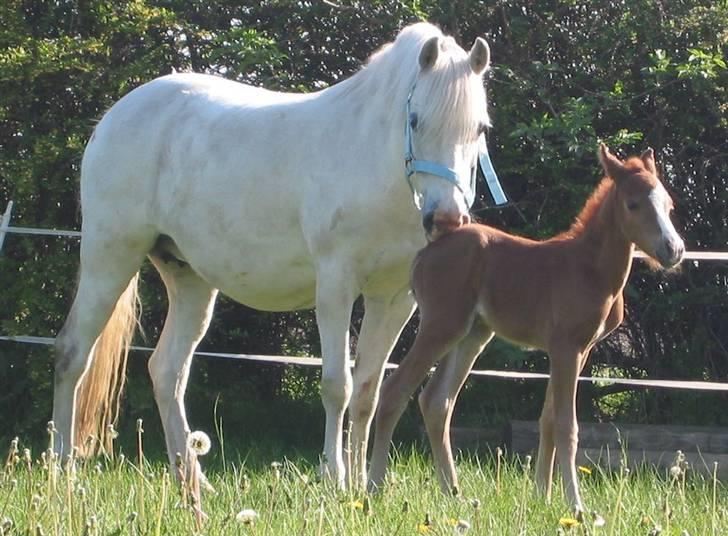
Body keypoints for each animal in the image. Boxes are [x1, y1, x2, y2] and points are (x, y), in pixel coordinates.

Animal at [51, 22, 494, 489]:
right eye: (415, 120)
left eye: (480, 129)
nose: (446, 219)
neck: (374, 160)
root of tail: (113, 117)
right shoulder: (335, 286)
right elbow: (337, 385)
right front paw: (335, 480)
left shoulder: (393, 299)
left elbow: (368, 391)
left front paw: (360, 486)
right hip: (109, 257)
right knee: (73, 353)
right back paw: (61, 471)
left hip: (189, 280)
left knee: (167, 371)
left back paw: (194, 482)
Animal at [368, 145, 685, 512]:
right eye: (633, 204)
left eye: (669, 205)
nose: (674, 249)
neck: (590, 269)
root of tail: (430, 248)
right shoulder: (566, 347)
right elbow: (566, 425)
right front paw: (575, 504)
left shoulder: (579, 350)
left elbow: (546, 421)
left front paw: (542, 497)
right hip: (441, 325)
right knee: (394, 390)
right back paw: (373, 487)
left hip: (471, 334)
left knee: (437, 401)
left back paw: (453, 493)